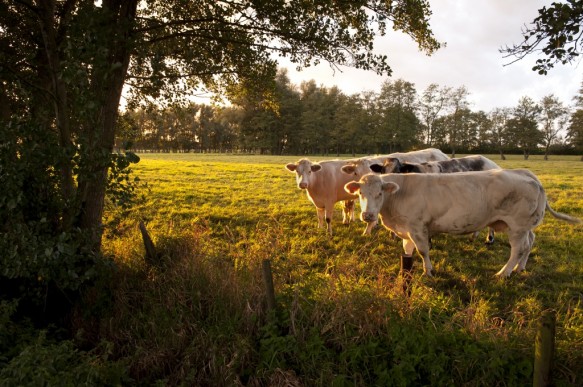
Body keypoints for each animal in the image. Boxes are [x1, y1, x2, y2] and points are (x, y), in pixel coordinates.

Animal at [344, 171, 580, 278]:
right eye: (360, 193)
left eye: (380, 193)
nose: (367, 215)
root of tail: (526, 174)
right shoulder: (406, 229)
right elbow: (408, 250)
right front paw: (407, 272)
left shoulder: (418, 227)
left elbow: (423, 251)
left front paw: (428, 272)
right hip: (524, 227)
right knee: (530, 243)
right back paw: (519, 268)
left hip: (517, 226)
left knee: (518, 249)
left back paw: (504, 273)